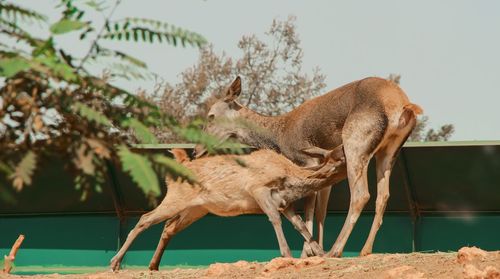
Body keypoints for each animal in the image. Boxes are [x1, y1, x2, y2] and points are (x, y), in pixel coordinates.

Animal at [195, 76, 422, 258]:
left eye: (211, 115)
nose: (196, 150)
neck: (279, 136)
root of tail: (403, 105)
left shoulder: (308, 162)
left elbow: (308, 208)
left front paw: (308, 252)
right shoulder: (326, 171)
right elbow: (321, 211)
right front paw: (313, 250)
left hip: (355, 147)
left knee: (361, 194)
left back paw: (336, 250)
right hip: (388, 152)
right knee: (383, 196)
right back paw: (364, 250)